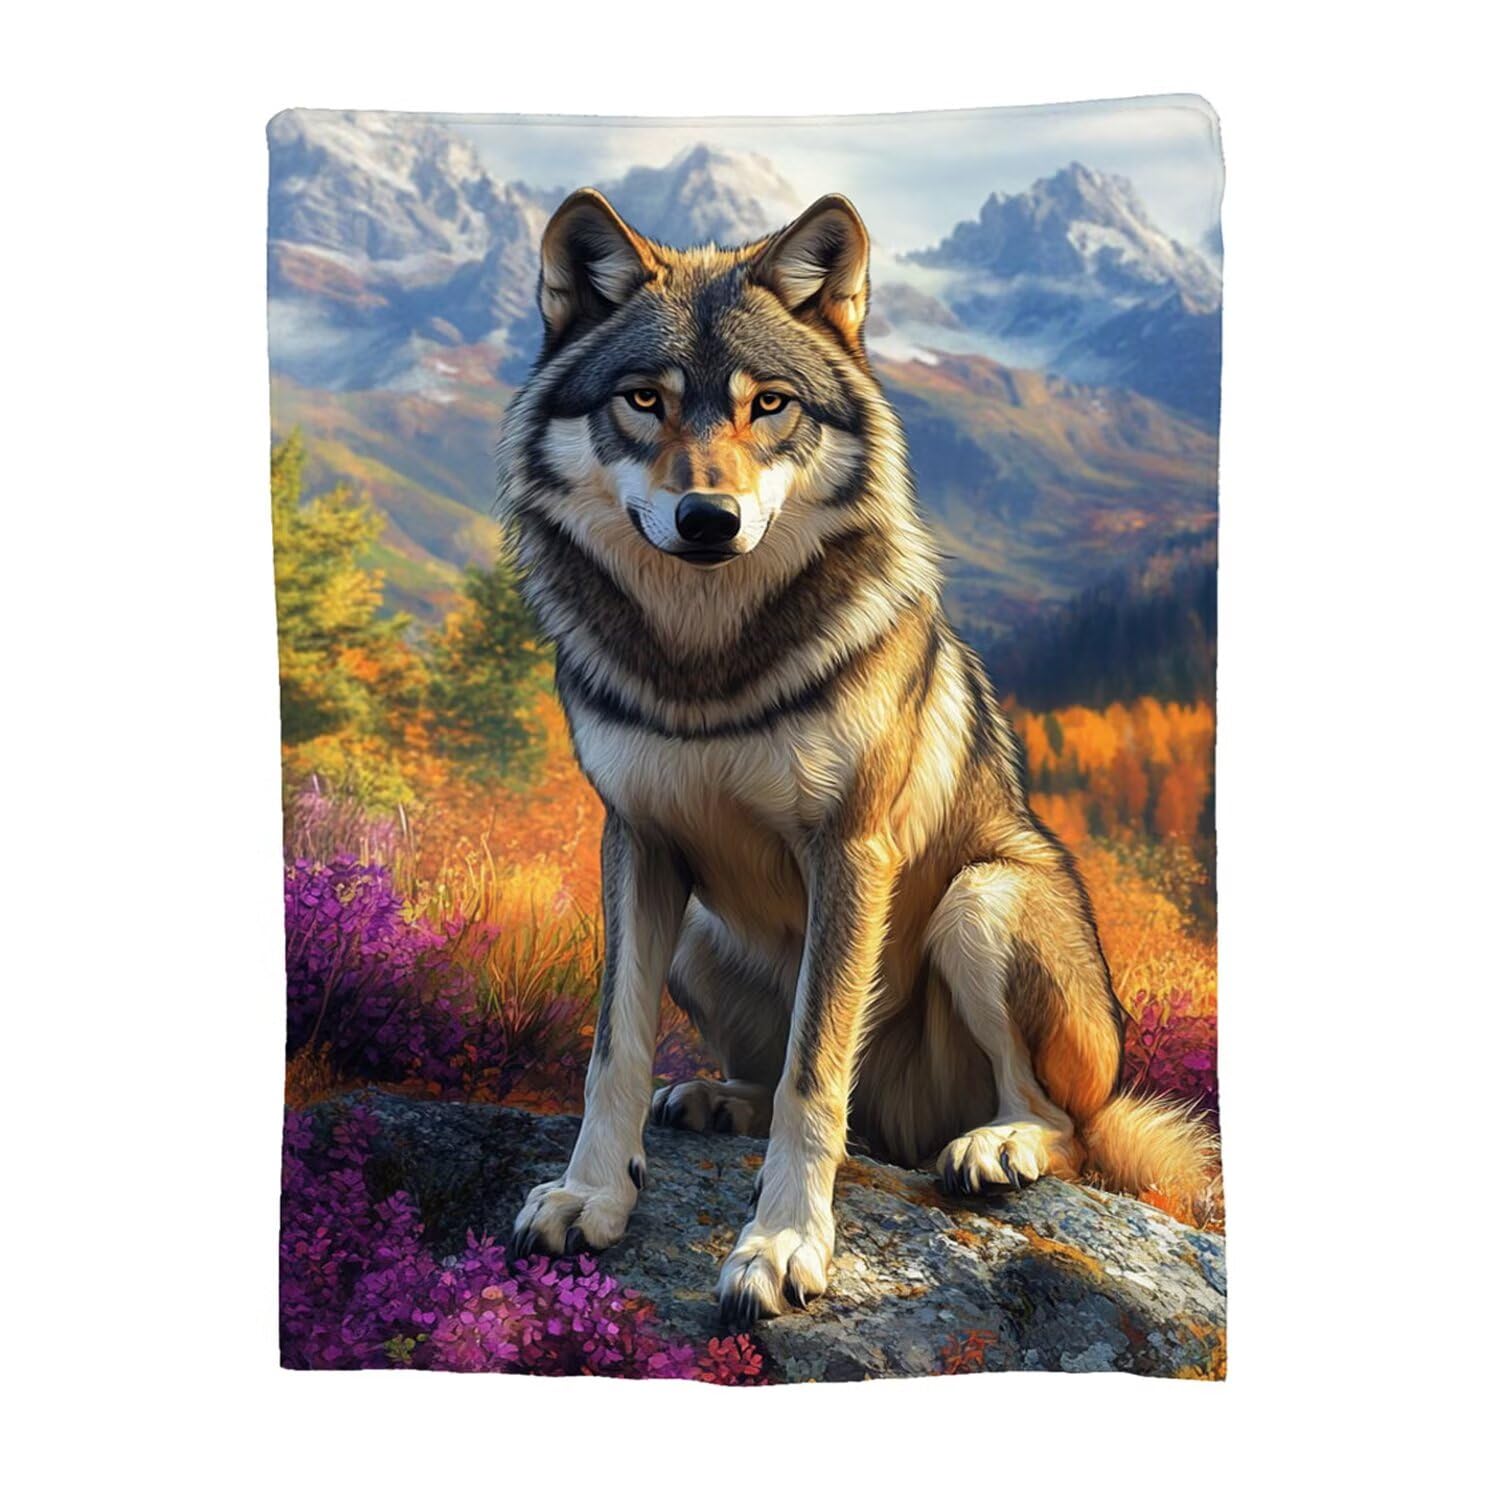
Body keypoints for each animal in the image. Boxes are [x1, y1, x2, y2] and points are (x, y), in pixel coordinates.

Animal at [500, 187, 1215, 1329]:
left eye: (771, 405)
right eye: (645, 401)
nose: (710, 519)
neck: (705, 664)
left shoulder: (852, 849)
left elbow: (814, 1072)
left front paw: (784, 1243)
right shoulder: (637, 841)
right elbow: (613, 1052)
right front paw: (588, 1195)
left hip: (984, 898)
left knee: (1056, 1122)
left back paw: (997, 1145)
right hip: (699, 930)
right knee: (803, 1094)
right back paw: (716, 1098)